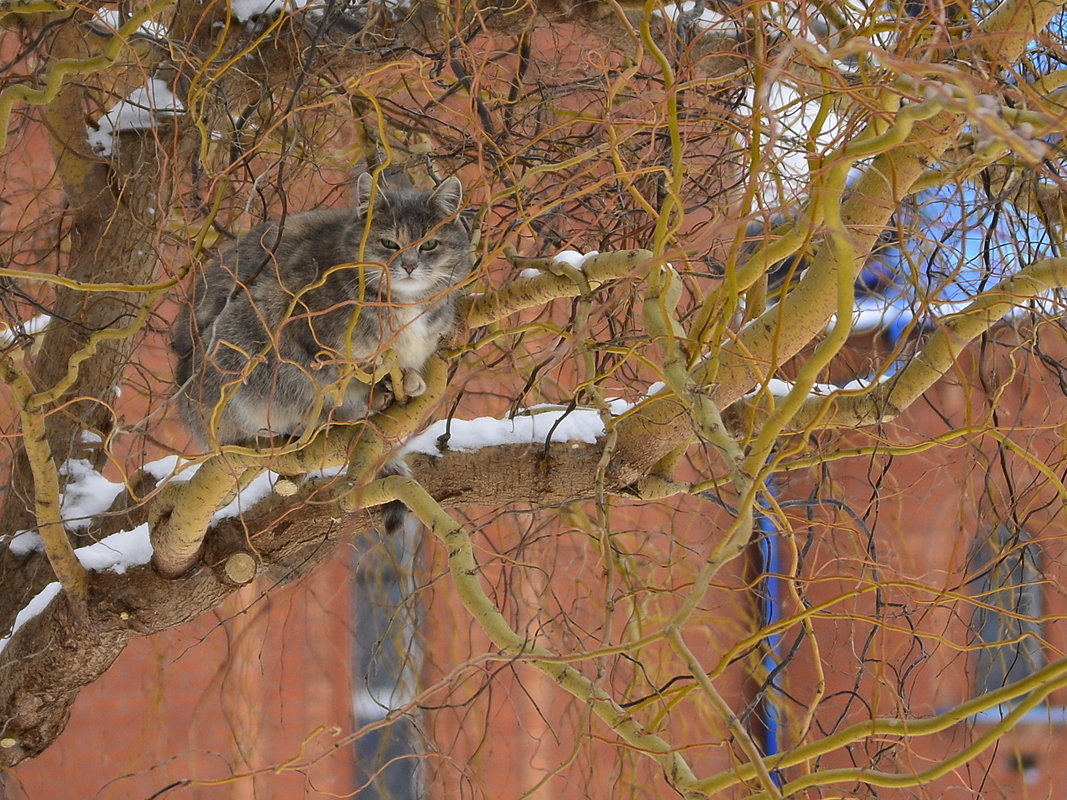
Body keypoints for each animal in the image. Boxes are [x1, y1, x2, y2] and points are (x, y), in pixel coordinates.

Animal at [171, 172, 471, 529]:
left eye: (428, 245)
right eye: (389, 244)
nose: (408, 266)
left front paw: (406, 380)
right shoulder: (305, 329)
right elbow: (340, 377)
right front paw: (370, 392)